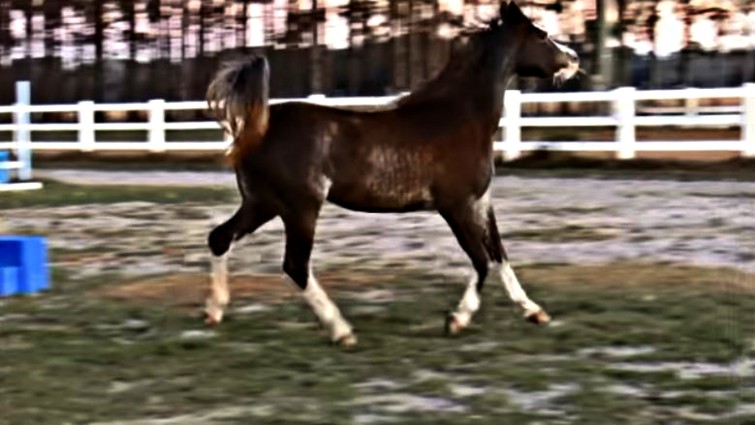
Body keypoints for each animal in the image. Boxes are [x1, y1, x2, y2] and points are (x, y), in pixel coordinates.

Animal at [204, 0, 579, 346]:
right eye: (541, 35)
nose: (573, 59)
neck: (461, 117)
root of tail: (257, 129)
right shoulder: (455, 205)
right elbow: (482, 261)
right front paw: (457, 320)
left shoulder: (480, 202)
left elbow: (500, 254)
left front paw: (534, 311)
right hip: (300, 209)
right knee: (295, 265)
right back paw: (341, 330)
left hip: (263, 203)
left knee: (220, 238)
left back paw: (214, 312)